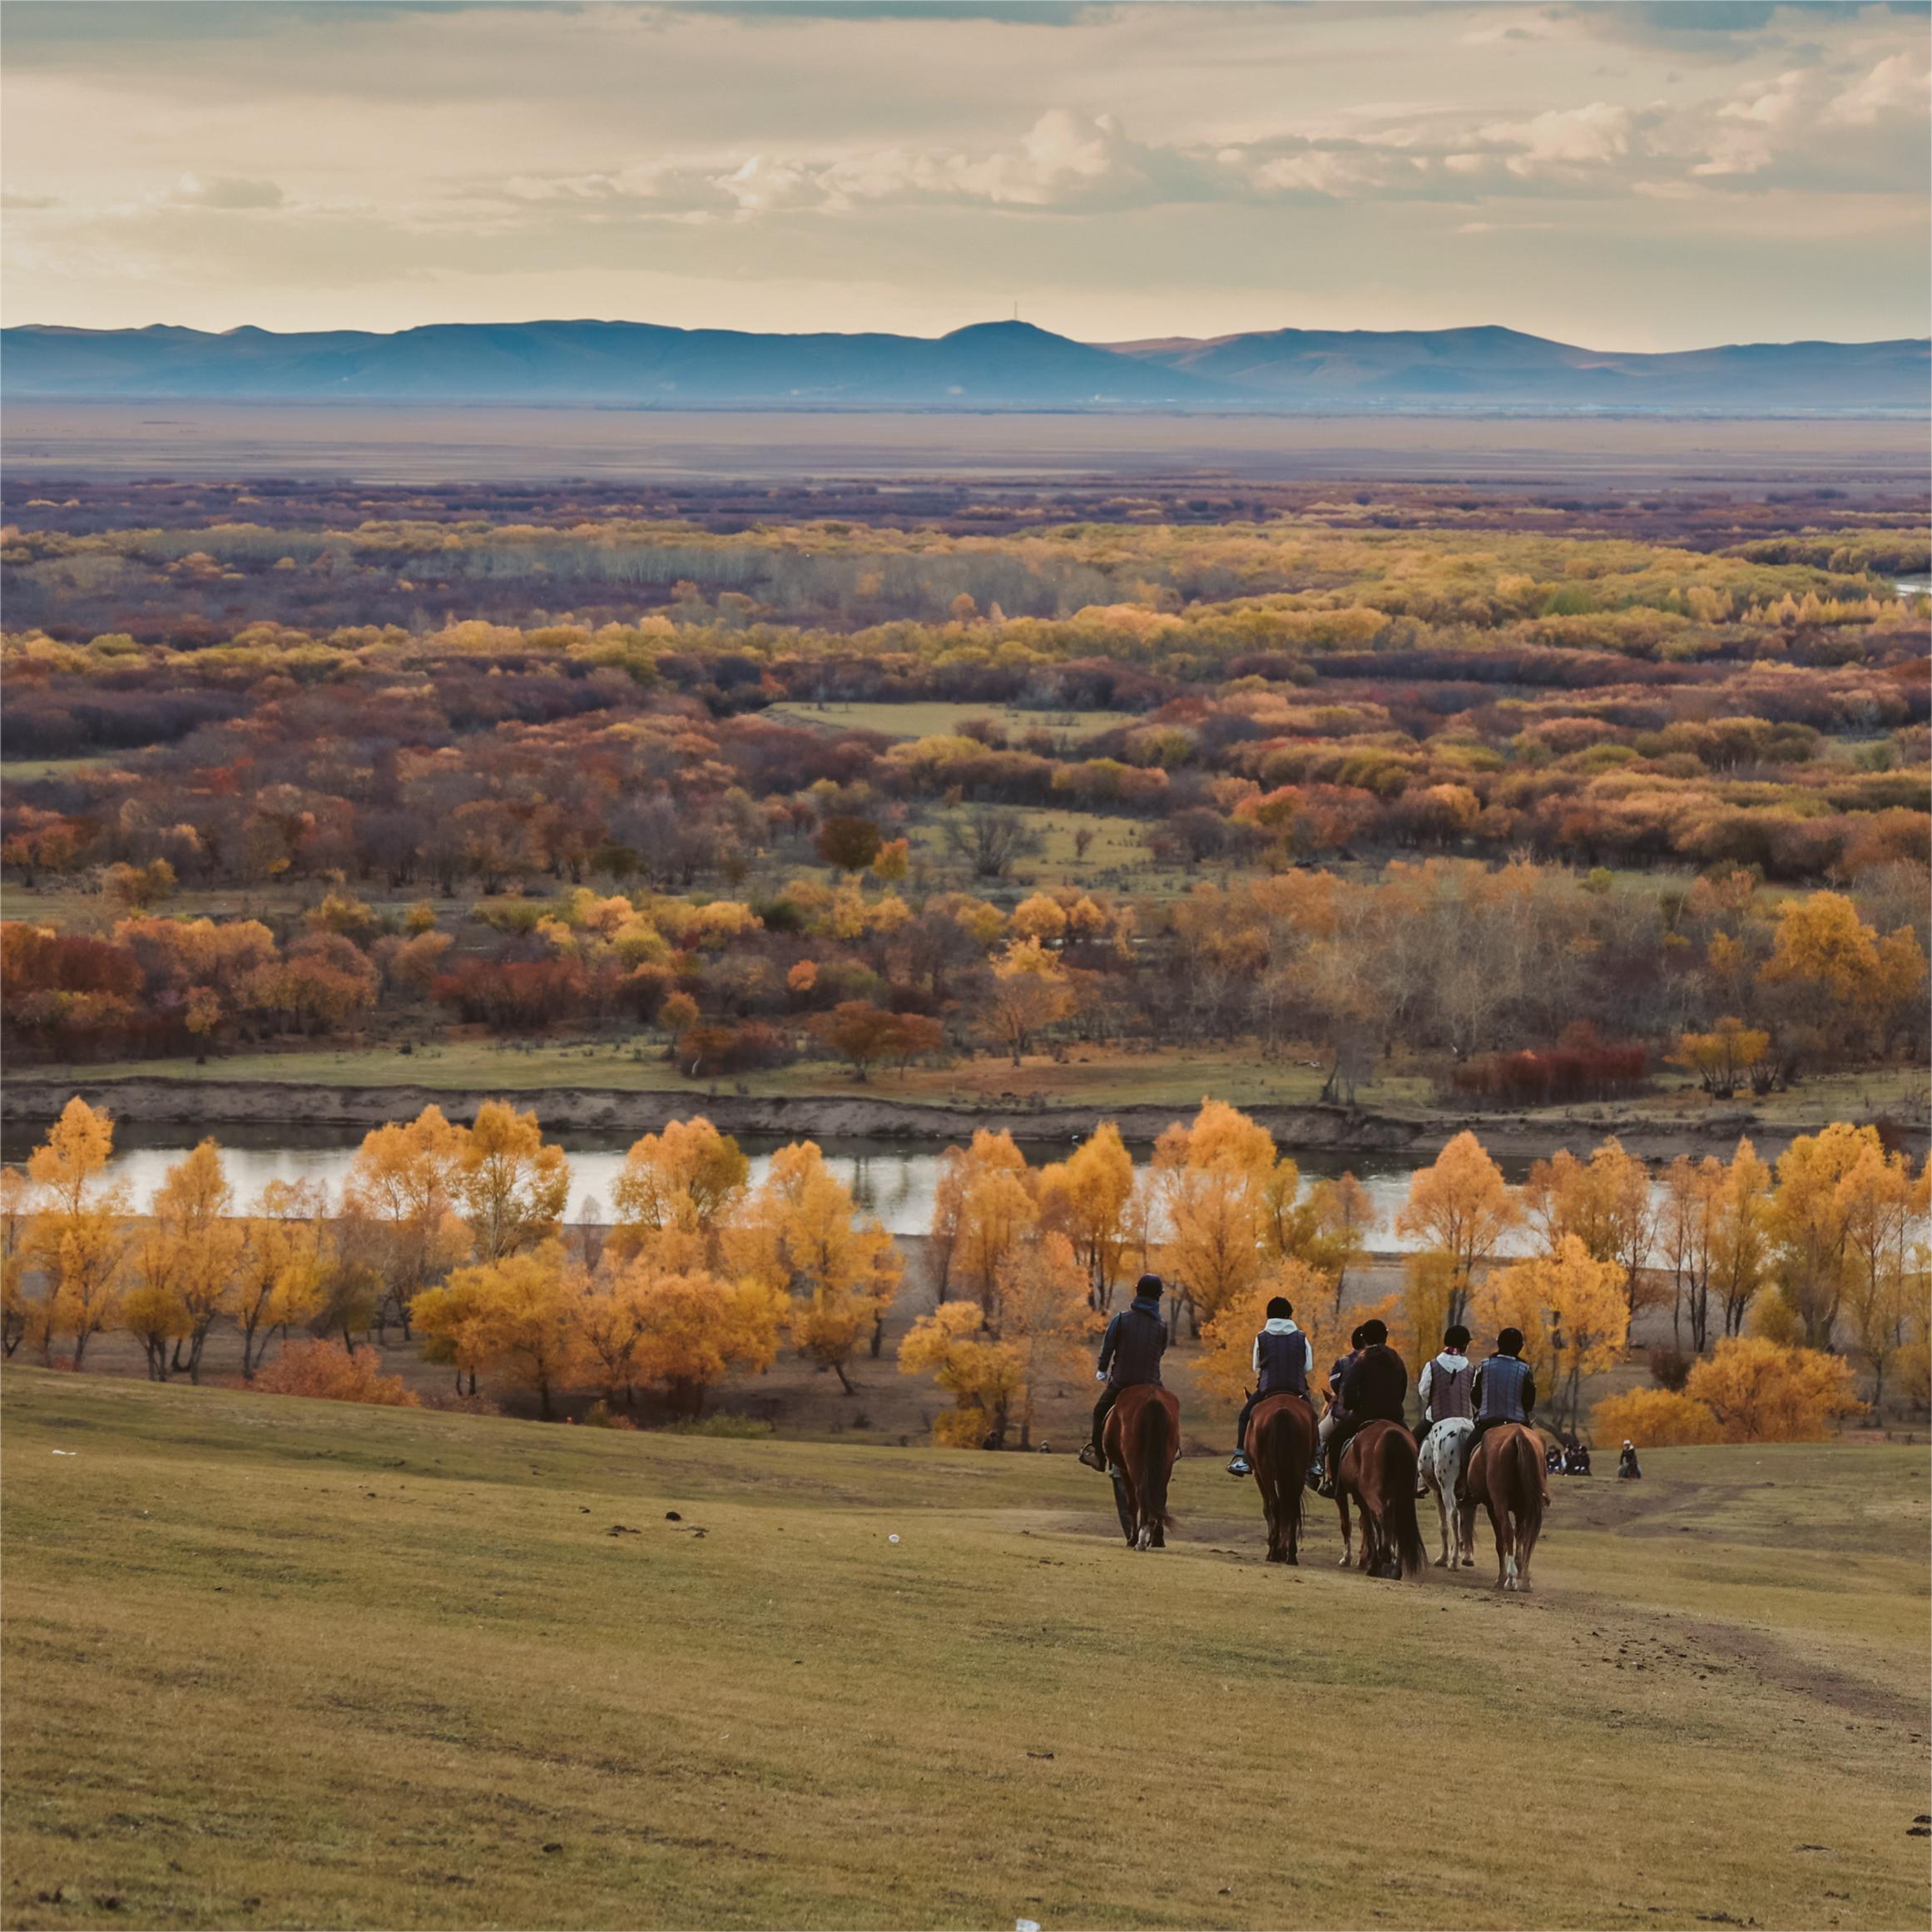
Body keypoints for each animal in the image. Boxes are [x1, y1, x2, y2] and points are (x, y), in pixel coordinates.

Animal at [1105, 1383, 1174, 1545]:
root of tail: (1152, 1399)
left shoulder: (1123, 1469)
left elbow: (1131, 1503)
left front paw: (1133, 1538)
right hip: (1166, 1462)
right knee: (1160, 1494)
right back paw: (1156, 1538)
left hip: (1134, 1463)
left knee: (1140, 1493)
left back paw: (1140, 1538)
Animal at [1244, 1399, 1321, 1561]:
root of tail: (1282, 1412)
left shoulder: (1258, 1474)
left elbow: (1268, 1509)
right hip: (1297, 1471)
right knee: (1291, 1506)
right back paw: (1290, 1554)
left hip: (1265, 1471)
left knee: (1274, 1505)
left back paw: (1274, 1552)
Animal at [1336, 1414, 1429, 1576]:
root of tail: (1391, 1434)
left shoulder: (1356, 1496)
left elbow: (1366, 1526)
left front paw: (1369, 1562)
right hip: (1401, 1496)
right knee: (1397, 1525)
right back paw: (1395, 1570)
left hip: (1371, 1494)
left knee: (1383, 1516)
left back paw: (1381, 1560)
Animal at [1453, 1414, 1545, 1592]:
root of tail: (1518, 1436)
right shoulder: (1521, 1509)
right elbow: (1521, 1536)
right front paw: (1520, 1568)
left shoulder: (1492, 1507)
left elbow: (1500, 1541)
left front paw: (1504, 1577)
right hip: (1527, 1505)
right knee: (1527, 1536)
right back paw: (1525, 1578)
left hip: (1499, 1504)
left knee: (1507, 1532)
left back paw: (1510, 1579)